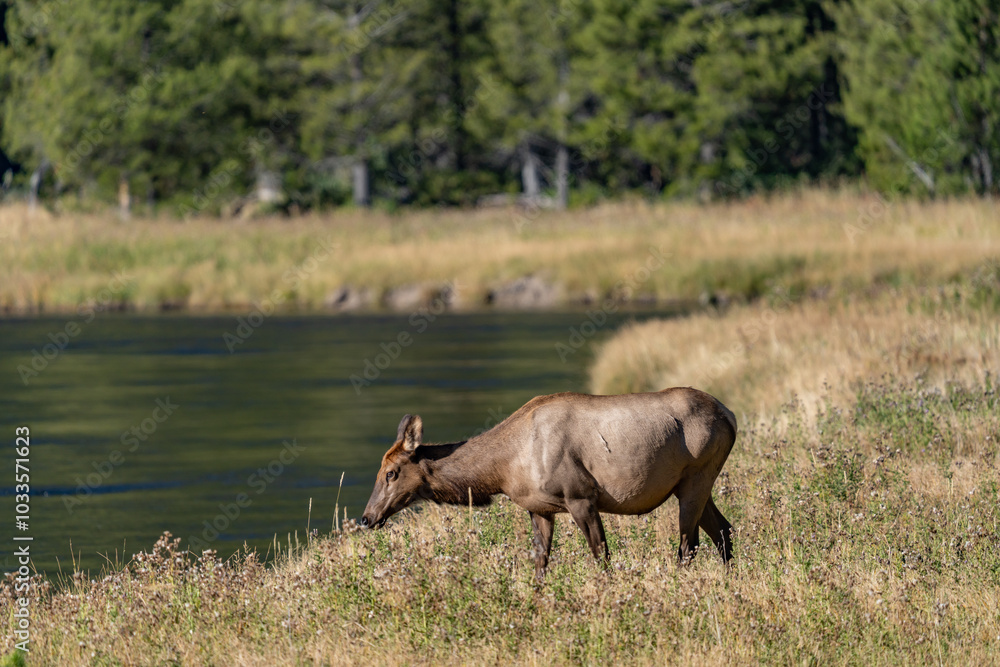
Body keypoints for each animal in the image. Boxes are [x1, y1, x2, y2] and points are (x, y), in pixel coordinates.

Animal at [359, 387, 737, 581]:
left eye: (391, 472)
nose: (366, 517)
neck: (505, 468)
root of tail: (729, 415)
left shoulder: (581, 497)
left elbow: (601, 557)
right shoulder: (540, 509)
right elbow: (540, 564)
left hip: (697, 477)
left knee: (688, 545)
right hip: (694, 484)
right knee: (723, 530)